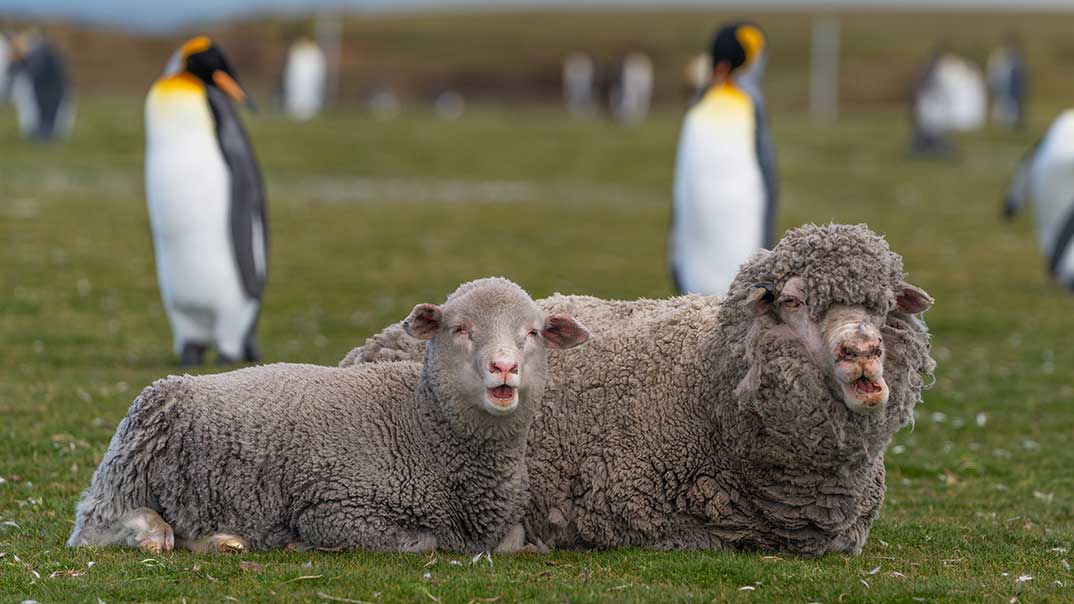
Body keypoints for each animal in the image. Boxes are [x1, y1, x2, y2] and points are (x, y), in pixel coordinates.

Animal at [67, 277, 590, 554]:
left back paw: (219, 540)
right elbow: (422, 543)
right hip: (128, 468)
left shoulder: (505, 528)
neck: (424, 426)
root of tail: (177, 382)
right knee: (95, 526)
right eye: (459, 329)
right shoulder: (337, 508)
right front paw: (300, 545)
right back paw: (155, 534)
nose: (504, 368)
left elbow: (511, 541)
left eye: (533, 334)